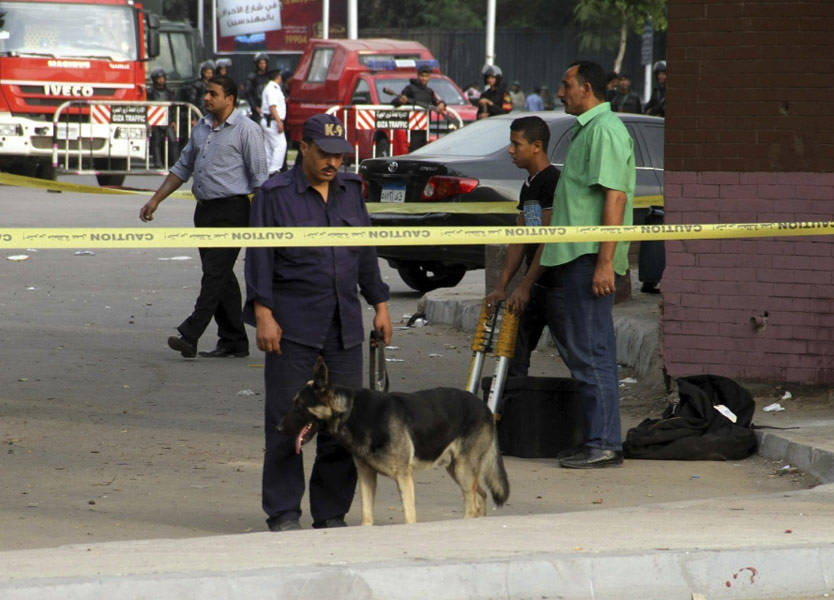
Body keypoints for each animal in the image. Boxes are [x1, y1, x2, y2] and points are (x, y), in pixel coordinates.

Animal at [280, 356, 508, 524]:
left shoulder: (404, 477)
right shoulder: (366, 477)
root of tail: (485, 407)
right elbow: (366, 516)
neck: (352, 412)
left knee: (472, 503)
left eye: (299, 406)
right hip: (458, 469)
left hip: (463, 470)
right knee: (481, 495)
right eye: (293, 404)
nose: (278, 428)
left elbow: (409, 516)